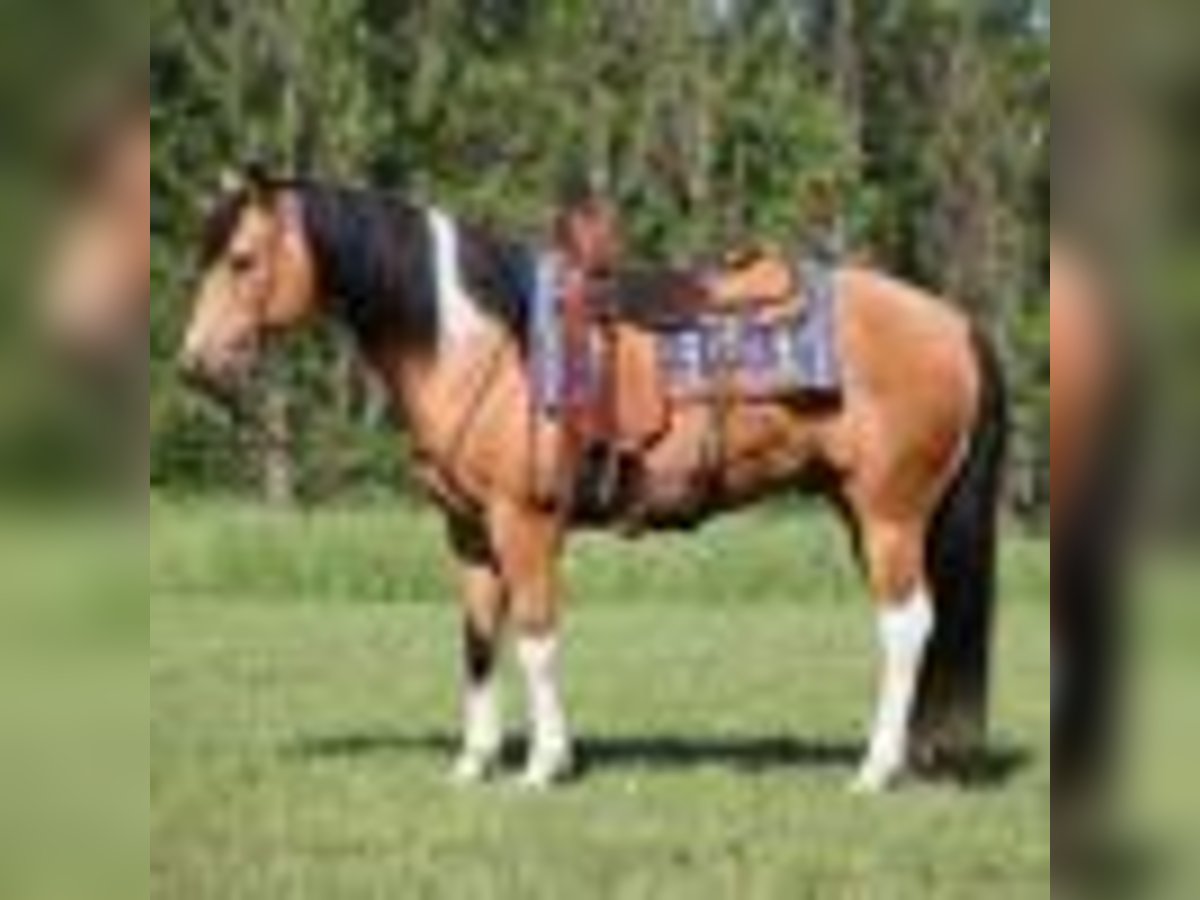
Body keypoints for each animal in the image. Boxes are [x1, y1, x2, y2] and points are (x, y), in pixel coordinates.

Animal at [175, 168, 1003, 787]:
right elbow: (479, 641)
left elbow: (537, 637)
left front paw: (545, 764)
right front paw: (473, 763)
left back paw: (874, 770)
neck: (480, 345)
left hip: (891, 514)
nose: (194, 364)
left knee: (905, 625)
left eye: (242, 258)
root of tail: (953, 322)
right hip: (864, 513)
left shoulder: (525, 523)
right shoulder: (468, 531)